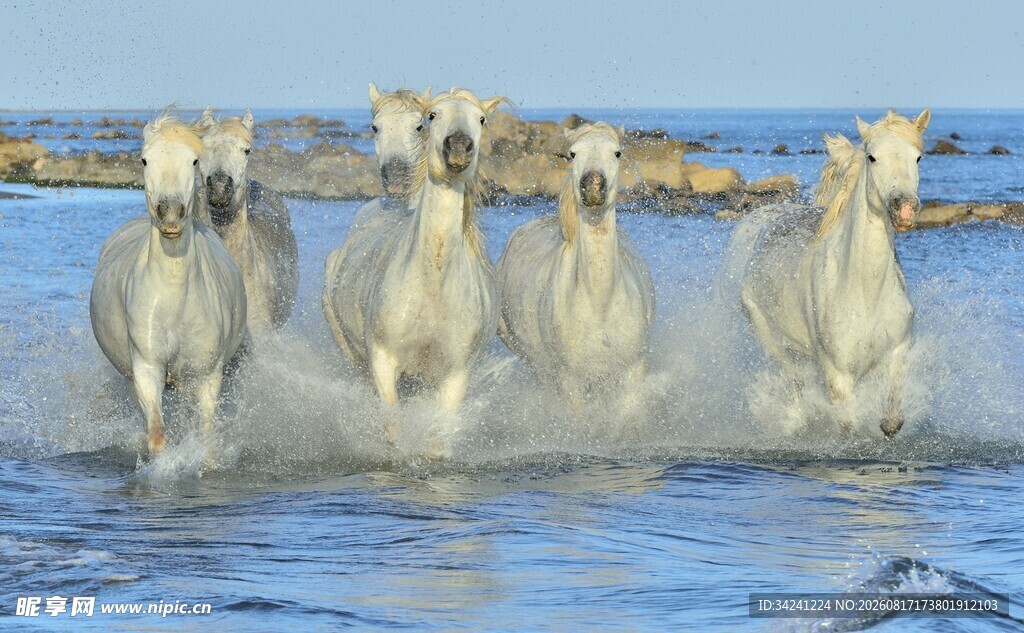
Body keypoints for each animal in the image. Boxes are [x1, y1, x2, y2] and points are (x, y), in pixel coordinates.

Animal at [90, 112, 247, 456]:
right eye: (145, 159)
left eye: (194, 161)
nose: (171, 215)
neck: (175, 300)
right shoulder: (147, 369)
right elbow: (158, 435)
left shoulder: (206, 375)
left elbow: (205, 437)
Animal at [322, 88, 505, 454]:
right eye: (432, 116)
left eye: (481, 119)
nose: (459, 147)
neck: (432, 282)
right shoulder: (382, 362)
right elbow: (392, 430)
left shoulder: (454, 375)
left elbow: (438, 438)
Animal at [496, 123, 655, 414]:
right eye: (572, 153)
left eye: (617, 153)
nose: (593, 185)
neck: (599, 305)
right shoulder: (571, 382)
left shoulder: (633, 372)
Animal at [726, 108, 931, 437]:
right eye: (872, 157)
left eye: (918, 157)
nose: (905, 209)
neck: (865, 293)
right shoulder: (837, 373)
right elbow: (847, 426)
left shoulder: (897, 351)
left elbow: (891, 421)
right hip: (770, 339)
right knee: (794, 381)